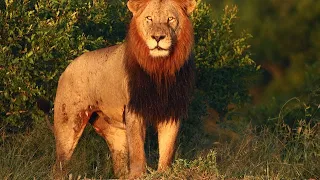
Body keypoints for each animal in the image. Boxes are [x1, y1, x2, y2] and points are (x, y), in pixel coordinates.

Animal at [53, 0, 196, 178]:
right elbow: (137, 149)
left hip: (114, 132)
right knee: (59, 164)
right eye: (149, 19)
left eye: (170, 19)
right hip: (68, 126)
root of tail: (67, 68)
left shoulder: (171, 111)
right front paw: (138, 175)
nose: (157, 37)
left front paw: (164, 173)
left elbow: (167, 148)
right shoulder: (134, 110)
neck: (160, 68)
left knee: (119, 164)